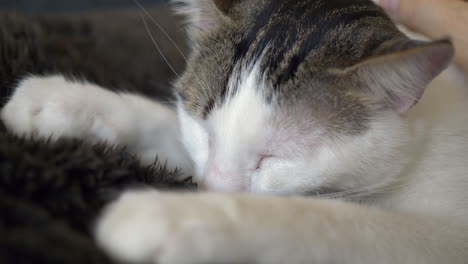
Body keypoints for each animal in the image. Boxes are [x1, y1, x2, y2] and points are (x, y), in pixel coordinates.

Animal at [0, 0, 468, 262]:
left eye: (274, 158)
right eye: (203, 132)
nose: (207, 189)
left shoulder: (446, 236)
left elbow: (335, 220)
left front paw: (175, 216)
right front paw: (62, 101)